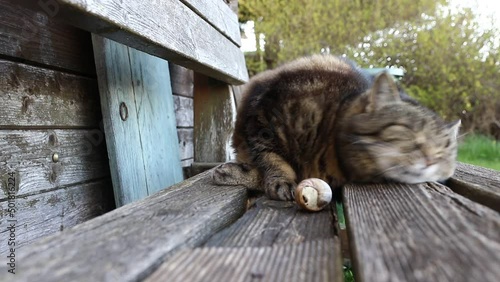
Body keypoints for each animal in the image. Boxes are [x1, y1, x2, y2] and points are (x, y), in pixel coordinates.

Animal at [213, 55, 458, 200]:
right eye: (406, 130)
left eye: (445, 150)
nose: (432, 159)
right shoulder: (261, 120)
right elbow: (271, 157)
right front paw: (279, 178)